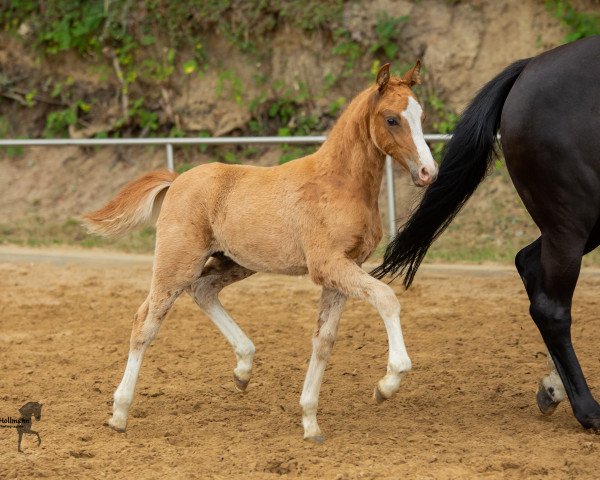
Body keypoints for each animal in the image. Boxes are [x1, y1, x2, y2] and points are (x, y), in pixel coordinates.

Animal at [85, 62, 436, 442]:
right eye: (391, 119)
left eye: (421, 115)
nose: (428, 172)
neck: (338, 183)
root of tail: (178, 180)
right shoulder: (328, 265)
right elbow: (386, 298)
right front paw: (387, 383)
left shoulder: (344, 268)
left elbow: (324, 340)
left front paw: (310, 422)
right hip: (176, 264)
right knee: (145, 323)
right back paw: (119, 414)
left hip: (235, 262)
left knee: (203, 290)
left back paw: (243, 369)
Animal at [372, 35, 600, 430]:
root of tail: (529, 68)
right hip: (572, 221)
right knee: (551, 308)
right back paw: (587, 410)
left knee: (528, 265)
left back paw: (554, 389)